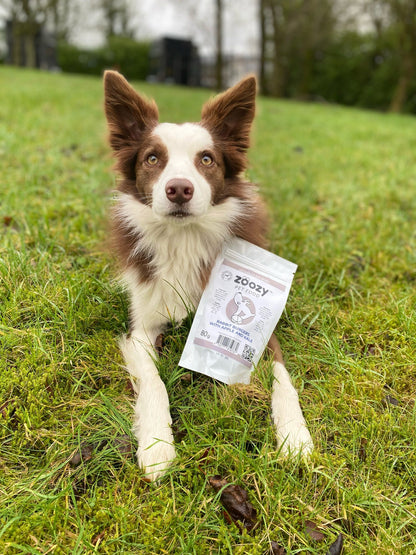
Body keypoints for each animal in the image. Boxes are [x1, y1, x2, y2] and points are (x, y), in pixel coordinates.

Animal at [103, 71, 312, 480]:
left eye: (206, 159)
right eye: (153, 158)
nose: (179, 189)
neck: (184, 238)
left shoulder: (264, 330)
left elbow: (284, 378)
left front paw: (295, 435)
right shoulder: (142, 326)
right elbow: (153, 381)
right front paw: (157, 445)